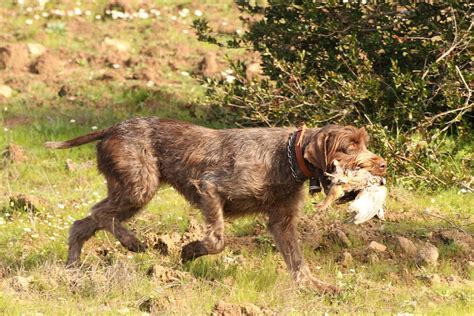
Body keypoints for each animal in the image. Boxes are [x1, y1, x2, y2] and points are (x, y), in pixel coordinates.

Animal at [45, 118, 386, 294]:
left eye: (363, 143)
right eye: (349, 147)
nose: (381, 165)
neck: (288, 156)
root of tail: (113, 128)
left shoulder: (282, 222)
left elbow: (297, 260)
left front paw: (314, 286)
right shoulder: (209, 187)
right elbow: (217, 240)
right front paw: (188, 251)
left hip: (129, 191)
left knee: (82, 222)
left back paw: (72, 269)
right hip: (139, 187)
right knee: (101, 214)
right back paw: (131, 242)